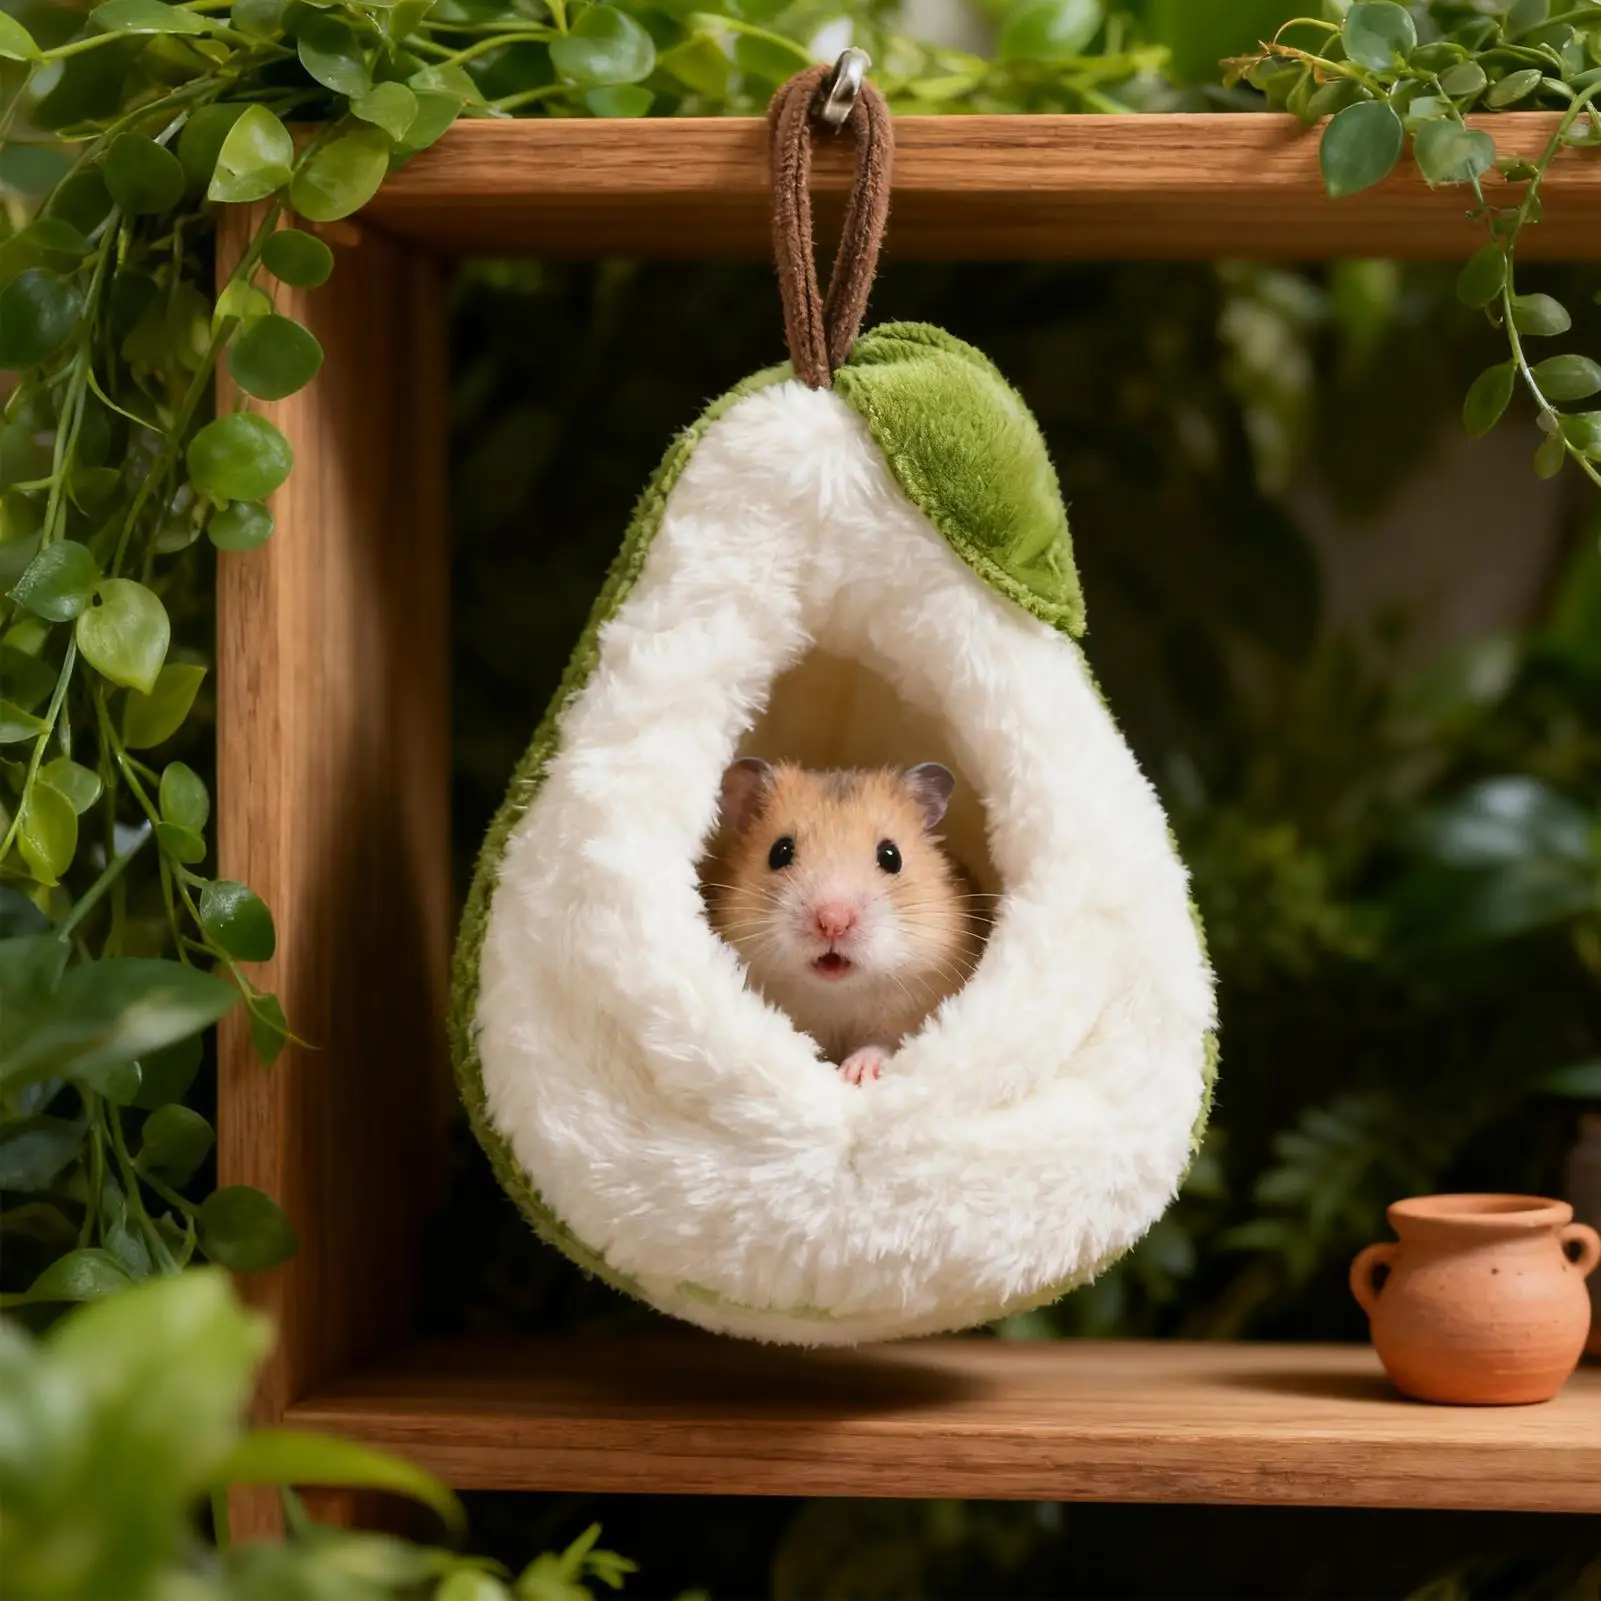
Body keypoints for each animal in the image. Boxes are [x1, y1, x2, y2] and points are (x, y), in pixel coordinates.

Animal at [704, 759, 989, 1085]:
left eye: (891, 856)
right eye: (780, 852)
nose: (833, 922)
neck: (836, 995)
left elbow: (882, 1045)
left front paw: (854, 1074)